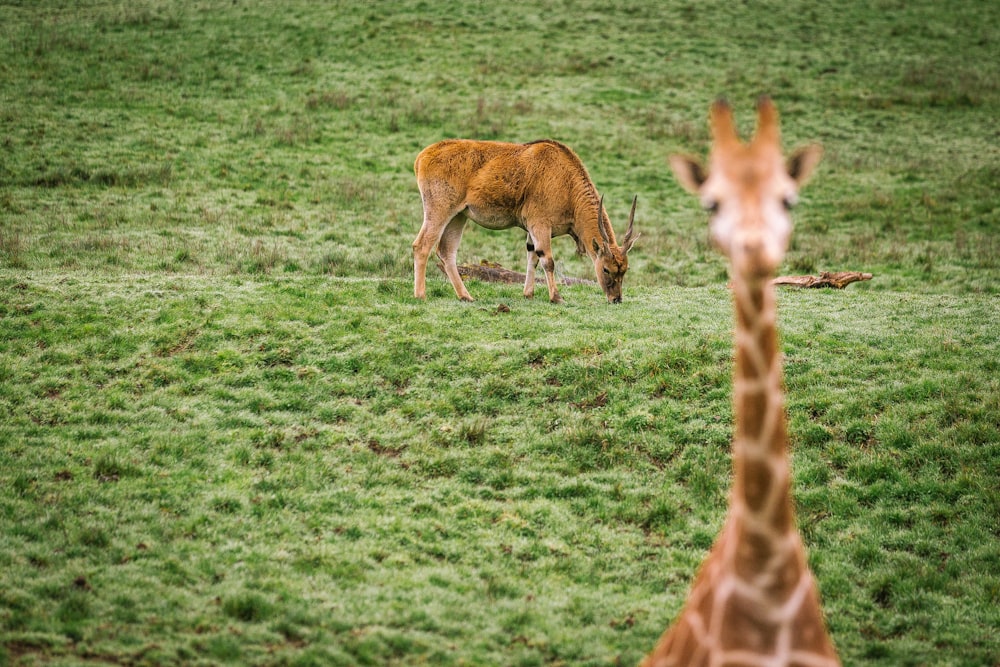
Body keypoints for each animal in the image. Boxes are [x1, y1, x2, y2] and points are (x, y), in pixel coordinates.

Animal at [410, 139, 636, 306]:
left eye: (624, 270)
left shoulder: (532, 230)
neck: (566, 182)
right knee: (421, 246)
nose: (616, 299)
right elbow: (547, 260)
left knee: (446, 251)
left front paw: (528, 294)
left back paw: (466, 296)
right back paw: (420, 295)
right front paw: (556, 297)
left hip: (458, 216)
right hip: (439, 211)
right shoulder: (540, 225)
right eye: (606, 269)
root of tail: (422, 156)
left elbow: (532, 256)